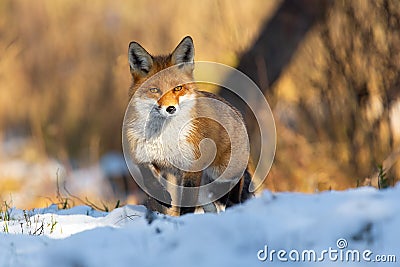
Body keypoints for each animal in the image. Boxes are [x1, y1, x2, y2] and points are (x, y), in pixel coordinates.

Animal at [125, 35, 252, 217]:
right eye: (154, 90)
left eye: (178, 88)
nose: (170, 108)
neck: (163, 135)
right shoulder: (144, 156)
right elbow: (149, 179)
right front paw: (163, 197)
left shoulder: (192, 167)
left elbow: (187, 202)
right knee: (211, 205)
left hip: (222, 173)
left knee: (232, 193)